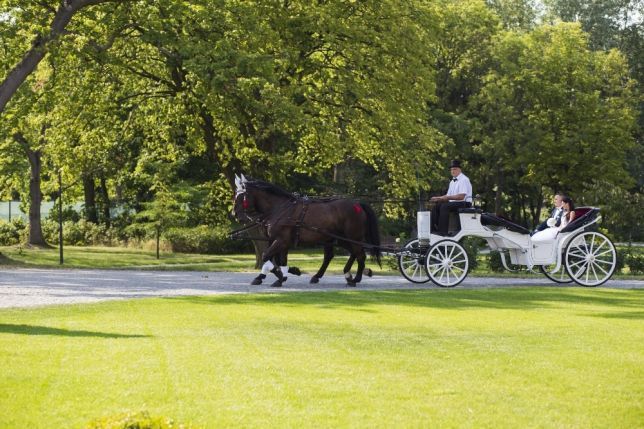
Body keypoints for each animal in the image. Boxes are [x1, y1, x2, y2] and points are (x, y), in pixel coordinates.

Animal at [233, 174, 380, 288]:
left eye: (241, 196)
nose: (236, 215)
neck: (279, 209)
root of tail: (357, 203)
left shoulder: (281, 240)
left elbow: (267, 256)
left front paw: (283, 276)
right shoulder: (275, 240)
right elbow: (278, 260)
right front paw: (282, 274)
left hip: (352, 237)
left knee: (359, 254)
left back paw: (354, 278)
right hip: (338, 239)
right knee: (346, 254)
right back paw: (338, 275)